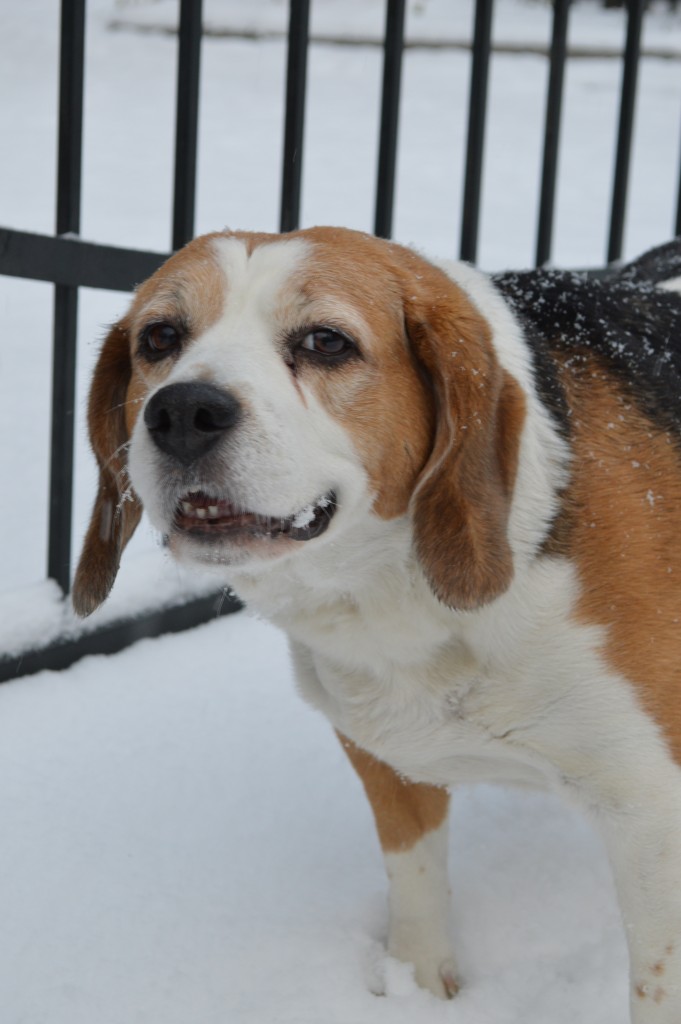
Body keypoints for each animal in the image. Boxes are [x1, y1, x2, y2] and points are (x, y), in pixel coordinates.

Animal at [73, 228, 679, 1019]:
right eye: (160, 337)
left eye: (326, 342)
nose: (181, 413)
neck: (400, 597)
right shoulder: (385, 756)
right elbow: (415, 885)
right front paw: (419, 989)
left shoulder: (650, 809)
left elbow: (655, 982)